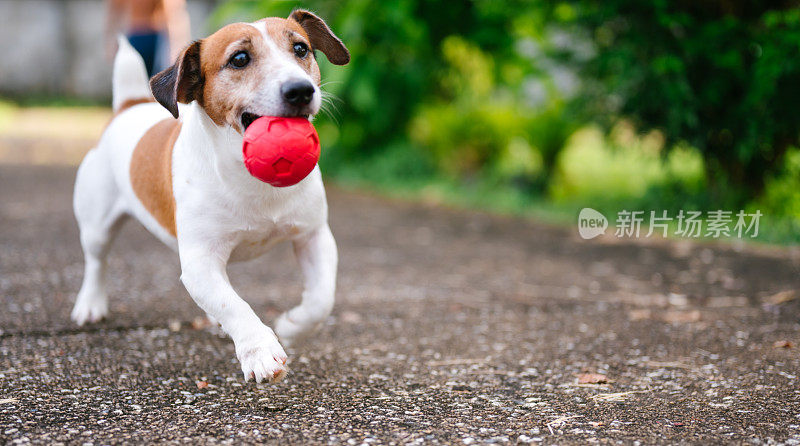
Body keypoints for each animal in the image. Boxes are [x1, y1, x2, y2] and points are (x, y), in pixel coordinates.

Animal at [72, 9, 350, 384]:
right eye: (240, 59)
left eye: (300, 49)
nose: (300, 90)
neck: (251, 178)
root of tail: (127, 106)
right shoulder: (200, 263)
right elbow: (233, 305)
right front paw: (260, 351)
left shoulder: (314, 236)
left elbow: (322, 298)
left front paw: (292, 326)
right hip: (97, 225)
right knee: (96, 262)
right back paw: (90, 304)